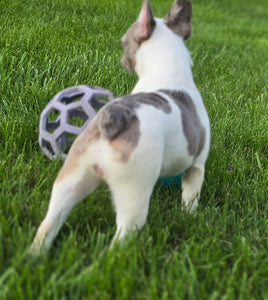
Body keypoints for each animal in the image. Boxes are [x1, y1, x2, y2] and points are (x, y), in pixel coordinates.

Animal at [30, 0, 210, 253]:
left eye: (123, 43)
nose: (122, 57)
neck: (169, 71)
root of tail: (112, 120)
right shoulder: (197, 166)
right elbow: (191, 197)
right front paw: (190, 218)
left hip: (72, 177)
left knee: (50, 221)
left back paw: (35, 255)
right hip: (133, 190)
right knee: (123, 235)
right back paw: (117, 257)